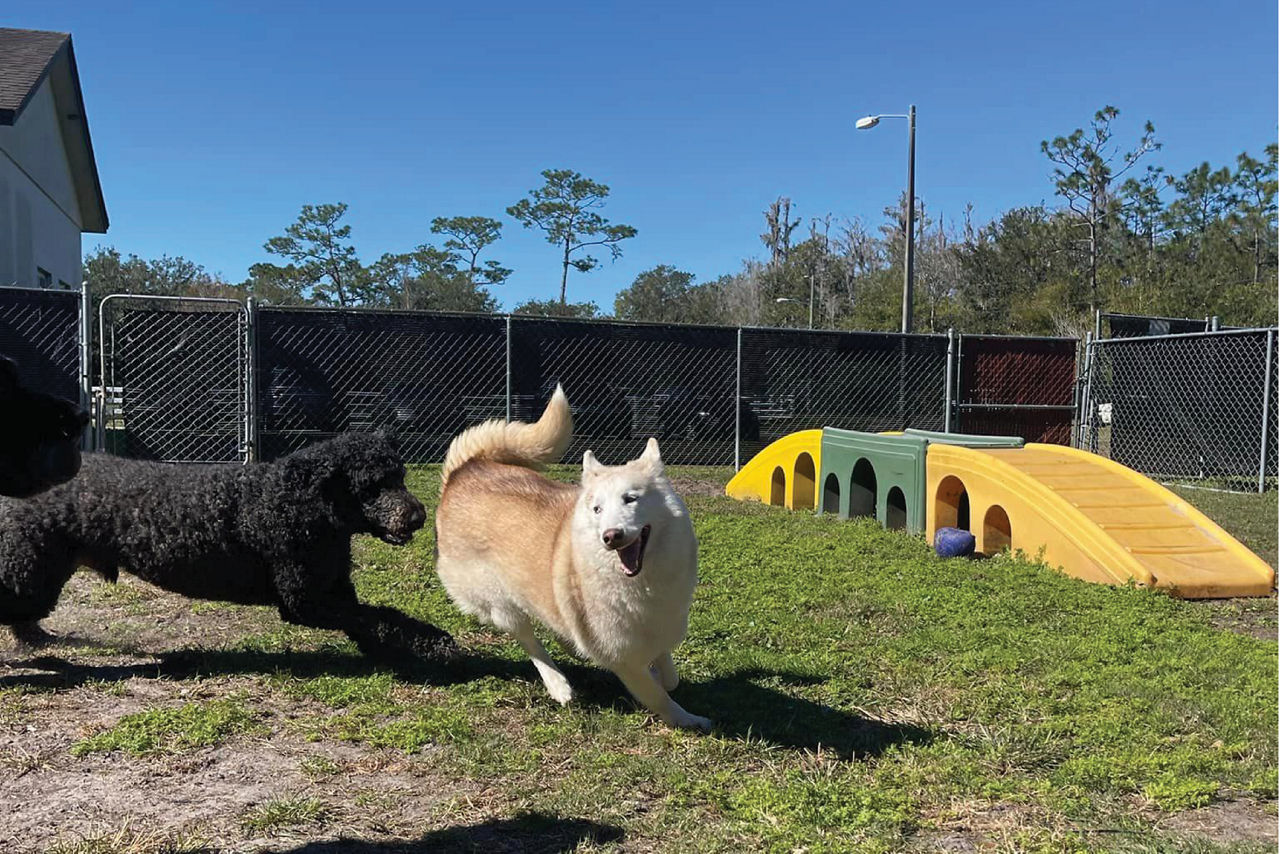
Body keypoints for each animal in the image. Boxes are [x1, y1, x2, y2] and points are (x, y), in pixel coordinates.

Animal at [0, 430, 460, 665]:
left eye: (400, 475)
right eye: (373, 485)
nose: (418, 515)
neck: (295, 500)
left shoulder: (331, 588)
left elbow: (375, 618)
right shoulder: (303, 600)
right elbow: (379, 618)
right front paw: (432, 644)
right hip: (30, 569)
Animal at [435, 386, 706, 727]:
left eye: (630, 498)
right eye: (597, 509)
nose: (610, 536)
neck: (642, 583)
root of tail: (463, 471)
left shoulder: (663, 622)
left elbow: (668, 671)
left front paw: (666, 674)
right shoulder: (625, 661)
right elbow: (659, 696)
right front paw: (690, 720)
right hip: (499, 602)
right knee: (529, 640)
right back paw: (558, 684)